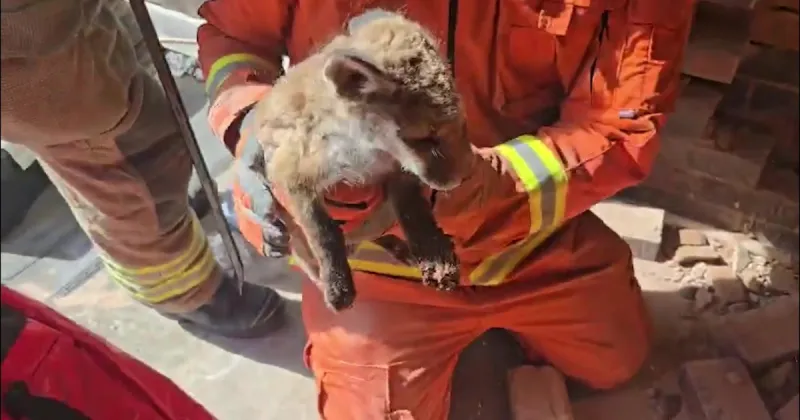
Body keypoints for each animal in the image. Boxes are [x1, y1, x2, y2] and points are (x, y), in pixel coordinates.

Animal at [250, 10, 474, 311]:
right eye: (425, 138)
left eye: (461, 123)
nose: (464, 175)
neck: (362, 154)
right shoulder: (291, 176)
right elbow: (324, 233)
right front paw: (336, 285)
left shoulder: (395, 171)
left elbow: (413, 211)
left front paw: (434, 254)